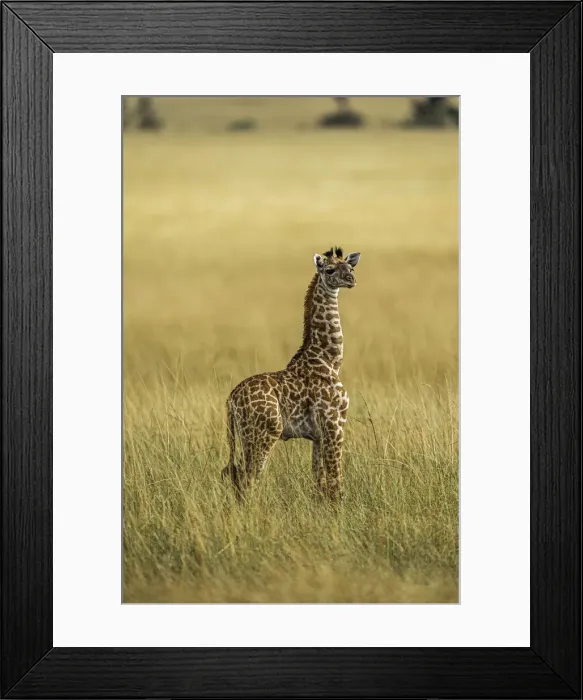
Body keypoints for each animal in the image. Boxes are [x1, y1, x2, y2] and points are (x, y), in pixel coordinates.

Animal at [222, 247, 361, 501]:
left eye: (350, 268)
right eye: (329, 269)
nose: (350, 280)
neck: (330, 361)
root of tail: (232, 399)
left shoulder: (318, 436)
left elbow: (320, 483)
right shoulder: (334, 424)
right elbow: (336, 482)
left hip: (243, 436)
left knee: (236, 477)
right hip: (264, 433)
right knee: (248, 479)